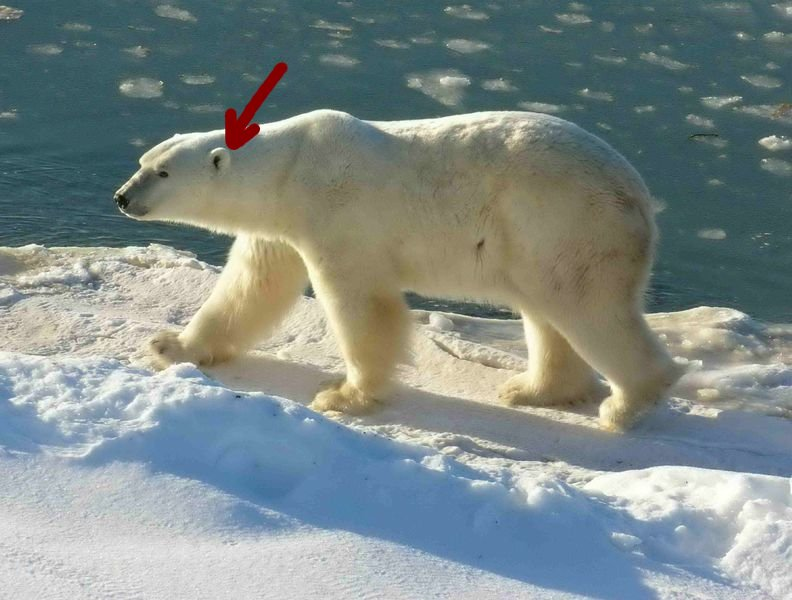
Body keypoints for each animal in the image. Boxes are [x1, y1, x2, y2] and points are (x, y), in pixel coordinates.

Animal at [114, 109, 682, 431]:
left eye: (162, 172)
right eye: (142, 161)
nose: (121, 197)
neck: (289, 168)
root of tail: (640, 196)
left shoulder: (337, 214)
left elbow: (361, 304)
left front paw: (345, 396)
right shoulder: (280, 227)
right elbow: (251, 286)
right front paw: (171, 346)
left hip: (567, 223)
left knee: (586, 307)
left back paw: (626, 405)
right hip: (537, 240)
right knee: (546, 311)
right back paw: (533, 389)